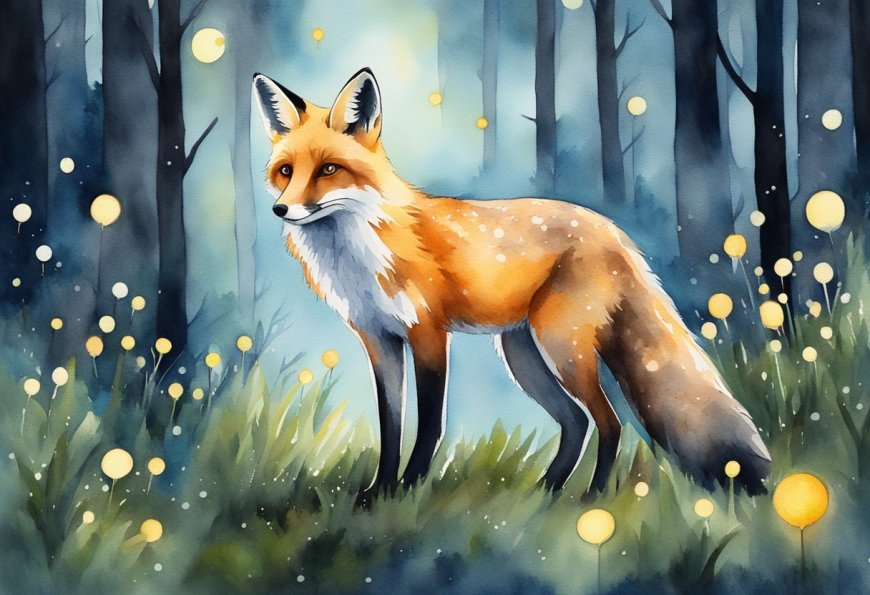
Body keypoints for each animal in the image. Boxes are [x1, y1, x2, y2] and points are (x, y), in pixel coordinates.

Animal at [252, 68, 772, 497]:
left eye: (328, 169)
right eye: (286, 171)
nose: (280, 209)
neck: (359, 248)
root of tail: (615, 232)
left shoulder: (428, 334)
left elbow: (429, 426)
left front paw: (408, 489)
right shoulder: (378, 340)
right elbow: (391, 427)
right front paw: (378, 494)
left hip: (561, 346)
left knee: (609, 422)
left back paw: (590, 497)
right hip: (524, 354)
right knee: (576, 422)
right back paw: (545, 494)